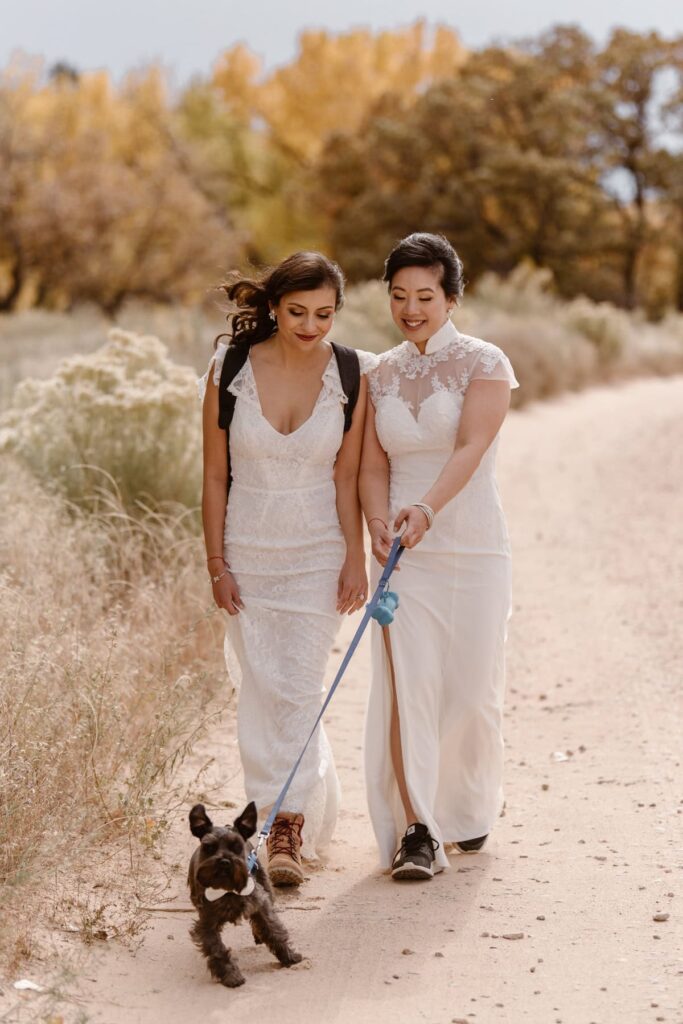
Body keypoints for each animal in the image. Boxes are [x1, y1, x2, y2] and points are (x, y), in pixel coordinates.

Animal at [188, 798, 303, 983]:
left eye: (237, 846)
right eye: (209, 847)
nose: (224, 861)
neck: (227, 890)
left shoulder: (261, 904)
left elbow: (274, 930)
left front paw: (289, 957)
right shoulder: (206, 923)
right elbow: (217, 949)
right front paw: (231, 976)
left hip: (266, 887)